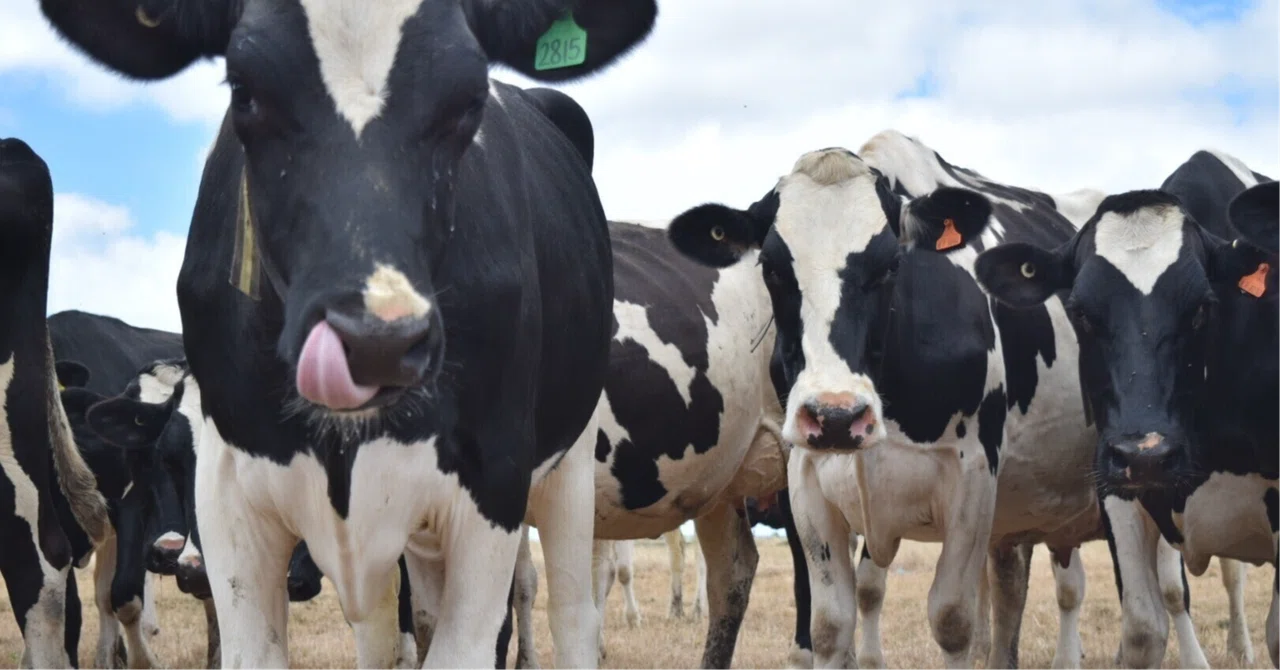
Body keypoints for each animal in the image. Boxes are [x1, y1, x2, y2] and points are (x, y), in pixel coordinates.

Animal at [40, 2, 662, 665]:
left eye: (470, 101)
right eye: (244, 90)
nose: (372, 344)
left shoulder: (491, 491)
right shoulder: (230, 507)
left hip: (569, 468)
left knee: (573, 615)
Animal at [663, 129, 1235, 669]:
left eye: (890, 265)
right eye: (773, 269)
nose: (837, 416)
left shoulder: (973, 476)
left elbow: (953, 619)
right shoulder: (806, 478)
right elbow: (830, 625)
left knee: (1165, 594)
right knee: (1012, 592)